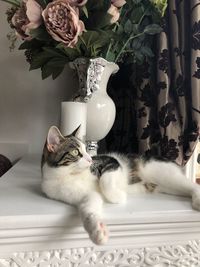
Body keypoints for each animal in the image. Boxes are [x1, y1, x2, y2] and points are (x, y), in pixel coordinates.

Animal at [41, 126, 200, 246]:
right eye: (75, 152)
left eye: (86, 149)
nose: (90, 159)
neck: (71, 176)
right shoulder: (77, 194)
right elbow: (89, 208)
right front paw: (97, 231)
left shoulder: (111, 162)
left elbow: (105, 182)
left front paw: (118, 196)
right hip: (167, 186)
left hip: (163, 173)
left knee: (192, 185)